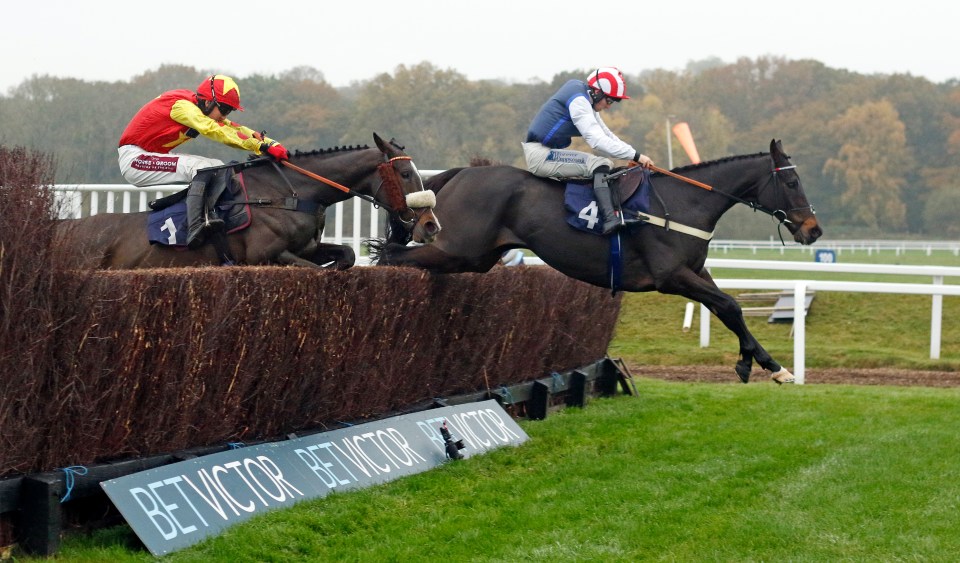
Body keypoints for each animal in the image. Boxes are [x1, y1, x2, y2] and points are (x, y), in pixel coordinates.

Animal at [56, 134, 438, 270]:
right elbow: (312, 270)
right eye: (406, 174)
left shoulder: (308, 247)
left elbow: (344, 255)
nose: (431, 225)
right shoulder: (263, 255)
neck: (289, 194)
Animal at [372, 141, 820, 386]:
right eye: (792, 181)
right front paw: (765, 365)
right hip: (456, 247)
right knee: (391, 256)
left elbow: (728, 308)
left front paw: (764, 364)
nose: (813, 230)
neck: (683, 202)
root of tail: (460, 173)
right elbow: (729, 305)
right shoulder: (670, 276)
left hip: (474, 256)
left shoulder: (696, 272)